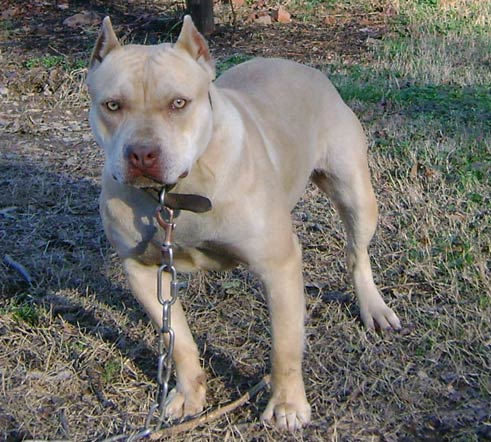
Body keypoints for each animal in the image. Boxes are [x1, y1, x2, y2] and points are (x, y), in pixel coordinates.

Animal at [86, 15, 402, 430]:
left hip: (356, 194)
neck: (178, 192)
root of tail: (302, 67)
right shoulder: (142, 271)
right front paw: (189, 395)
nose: (141, 153)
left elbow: (284, 346)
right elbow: (179, 341)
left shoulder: (278, 264)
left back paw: (373, 307)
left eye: (178, 103)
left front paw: (287, 405)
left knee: (356, 252)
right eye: (112, 105)